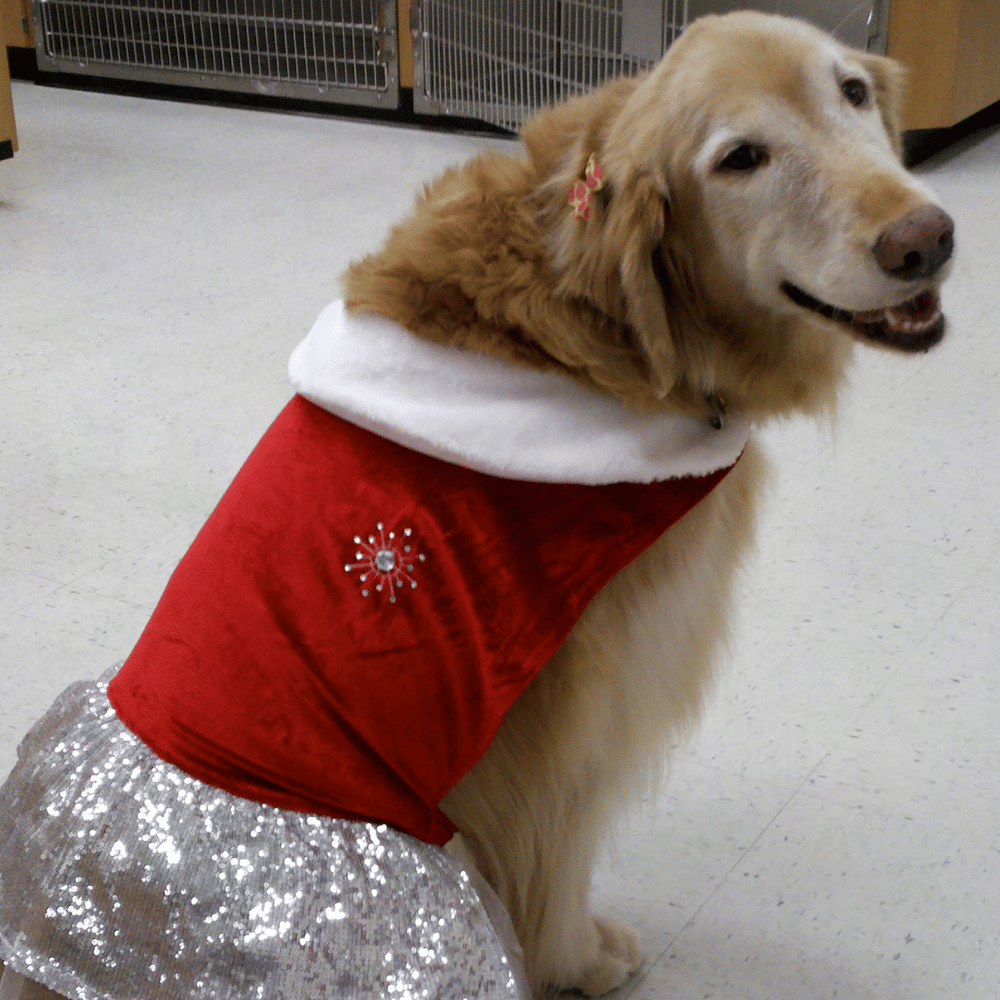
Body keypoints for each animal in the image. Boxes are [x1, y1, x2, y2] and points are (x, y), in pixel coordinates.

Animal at [342, 9, 952, 1000]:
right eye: (740, 159)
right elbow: (561, 851)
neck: (612, 333)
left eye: (853, 91)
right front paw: (579, 957)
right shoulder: (585, 710)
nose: (926, 238)